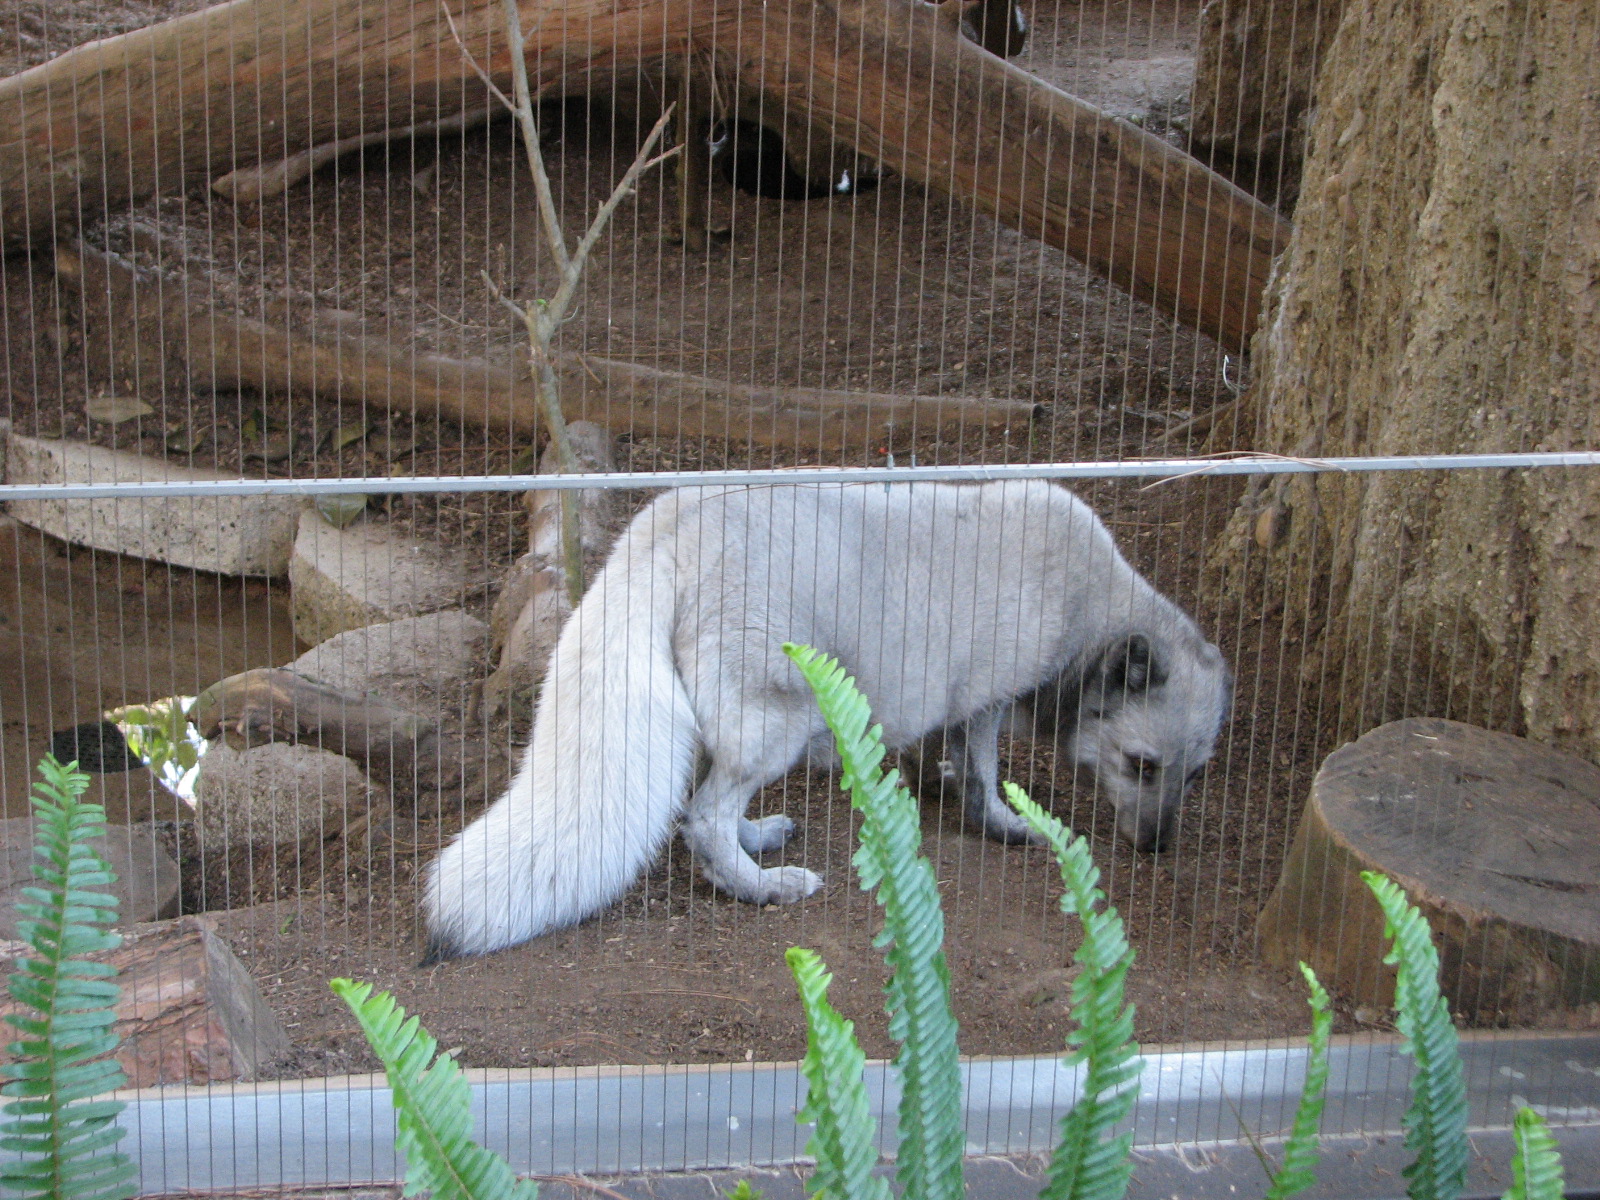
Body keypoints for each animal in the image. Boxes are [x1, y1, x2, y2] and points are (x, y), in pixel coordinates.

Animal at [423, 481, 1230, 961]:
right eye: (1141, 765)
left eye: (1193, 777)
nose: (1159, 848)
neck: (1088, 608)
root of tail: (669, 520)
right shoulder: (990, 702)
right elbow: (984, 774)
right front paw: (1001, 823)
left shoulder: (954, 703)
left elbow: (940, 753)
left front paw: (932, 783)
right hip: (778, 722)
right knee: (701, 820)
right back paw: (762, 887)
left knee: (700, 810)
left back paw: (758, 841)